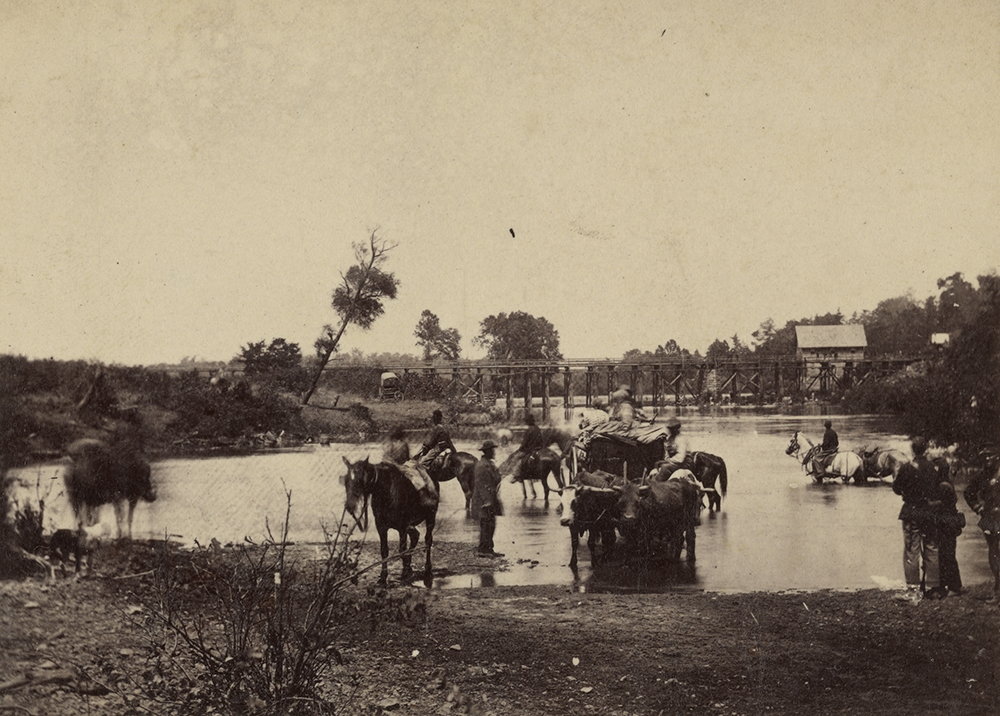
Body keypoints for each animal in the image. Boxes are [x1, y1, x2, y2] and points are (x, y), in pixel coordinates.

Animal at [342, 458, 436, 588]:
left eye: (359, 481)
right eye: (346, 481)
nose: (349, 507)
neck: (388, 490)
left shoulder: (402, 527)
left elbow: (402, 550)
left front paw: (405, 574)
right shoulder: (381, 526)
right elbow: (384, 551)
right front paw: (383, 579)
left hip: (431, 517)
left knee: (427, 541)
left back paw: (427, 573)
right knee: (415, 536)